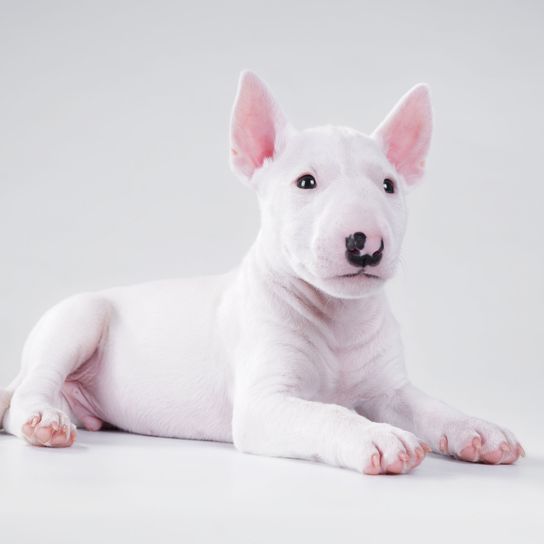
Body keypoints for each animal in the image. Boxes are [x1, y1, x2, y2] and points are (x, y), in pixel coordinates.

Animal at [1, 71, 528, 472]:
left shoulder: (390, 389)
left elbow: (431, 406)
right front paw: (379, 437)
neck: (337, 317)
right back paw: (45, 418)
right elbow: (330, 415)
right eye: (306, 182)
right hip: (77, 318)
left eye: (389, 185)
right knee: (33, 385)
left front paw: (479, 429)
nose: (366, 244)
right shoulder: (263, 405)